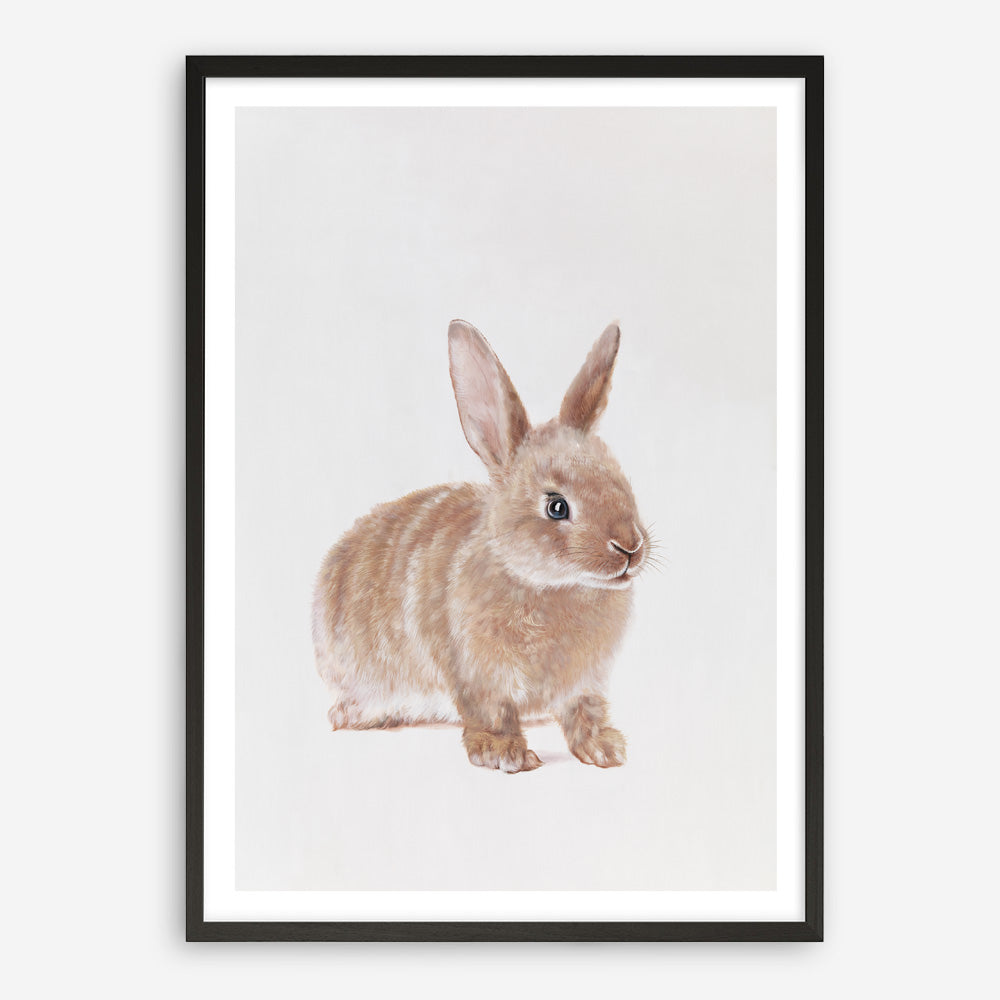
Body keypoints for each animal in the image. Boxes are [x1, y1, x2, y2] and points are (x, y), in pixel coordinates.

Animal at [312, 319, 650, 773]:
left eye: (622, 482)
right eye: (557, 506)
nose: (630, 547)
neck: (548, 584)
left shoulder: (584, 684)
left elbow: (585, 712)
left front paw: (606, 750)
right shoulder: (478, 673)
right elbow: (492, 712)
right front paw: (505, 754)